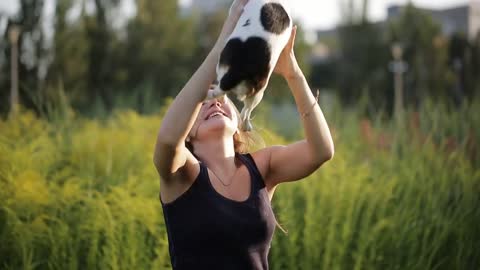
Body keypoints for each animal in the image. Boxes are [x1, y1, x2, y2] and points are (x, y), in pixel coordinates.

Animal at [207, 0, 292, 131]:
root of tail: (241, 69)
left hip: (222, 65)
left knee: (222, 91)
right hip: (258, 93)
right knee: (247, 109)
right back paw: (246, 124)